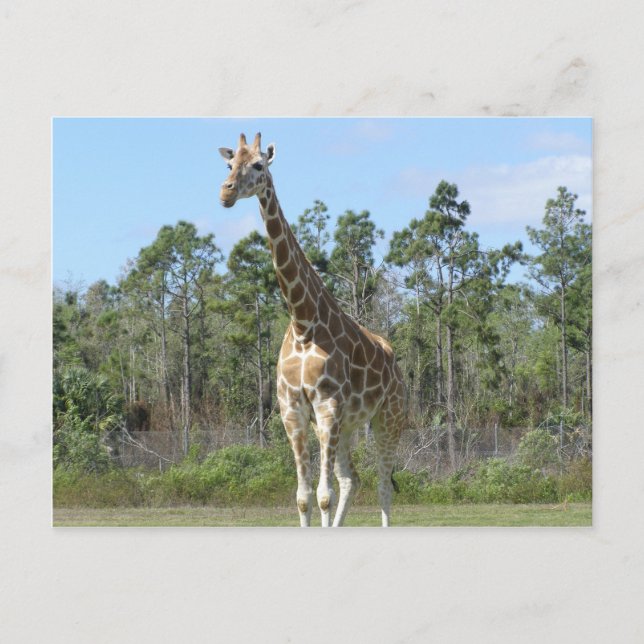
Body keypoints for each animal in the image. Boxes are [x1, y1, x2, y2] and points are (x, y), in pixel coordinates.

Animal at [218, 132, 406, 527]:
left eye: (258, 164)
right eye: (228, 164)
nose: (225, 193)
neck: (303, 322)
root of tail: (396, 365)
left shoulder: (327, 404)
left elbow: (323, 495)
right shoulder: (293, 409)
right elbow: (304, 497)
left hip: (390, 416)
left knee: (383, 485)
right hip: (348, 425)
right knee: (352, 479)